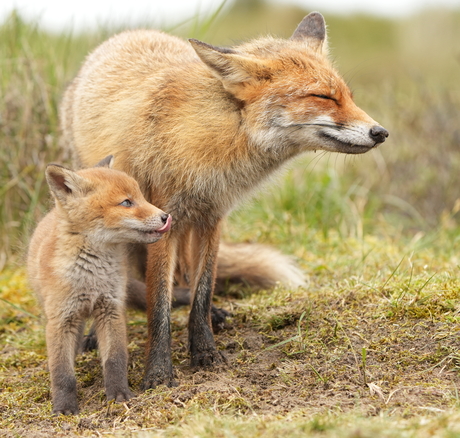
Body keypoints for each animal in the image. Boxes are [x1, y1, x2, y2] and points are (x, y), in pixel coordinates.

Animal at [28, 157, 172, 414]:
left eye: (141, 196)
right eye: (126, 202)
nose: (166, 216)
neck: (92, 275)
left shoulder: (110, 310)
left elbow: (115, 360)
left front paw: (119, 395)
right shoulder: (61, 318)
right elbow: (62, 372)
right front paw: (64, 407)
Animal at [59, 12, 386, 388]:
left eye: (347, 96)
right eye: (322, 96)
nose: (381, 132)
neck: (218, 142)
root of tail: (125, 35)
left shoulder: (212, 217)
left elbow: (203, 292)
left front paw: (204, 352)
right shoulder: (163, 222)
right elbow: (158, 307)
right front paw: (158, 372)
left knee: (186, 276)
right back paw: (95, 334)